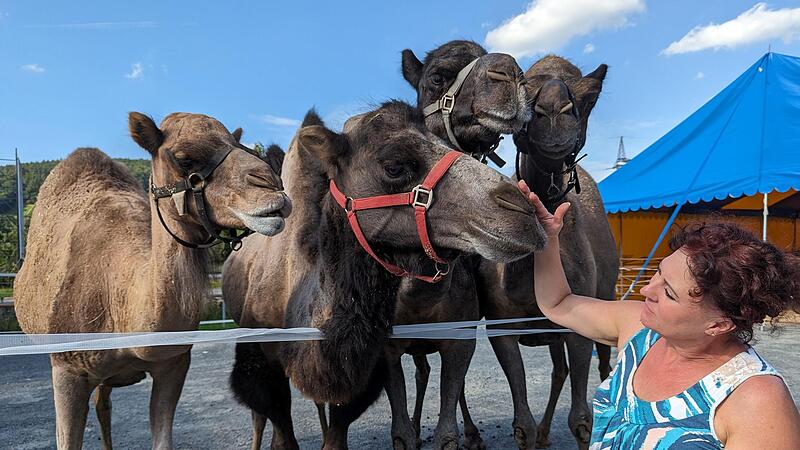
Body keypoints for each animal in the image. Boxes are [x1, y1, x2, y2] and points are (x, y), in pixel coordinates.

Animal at [13, 112, 290, 450]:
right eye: (183, 158)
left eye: (240, 146)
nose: (273, 187)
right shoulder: (67, 370)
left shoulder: (173, 365)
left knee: (103, 403)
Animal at [380, 40, 530, 450]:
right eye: (437, 77)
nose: (509, 73)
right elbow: (399, 423)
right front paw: (411, 432)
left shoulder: (461, 332)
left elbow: (450, 414)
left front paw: (462, 434)